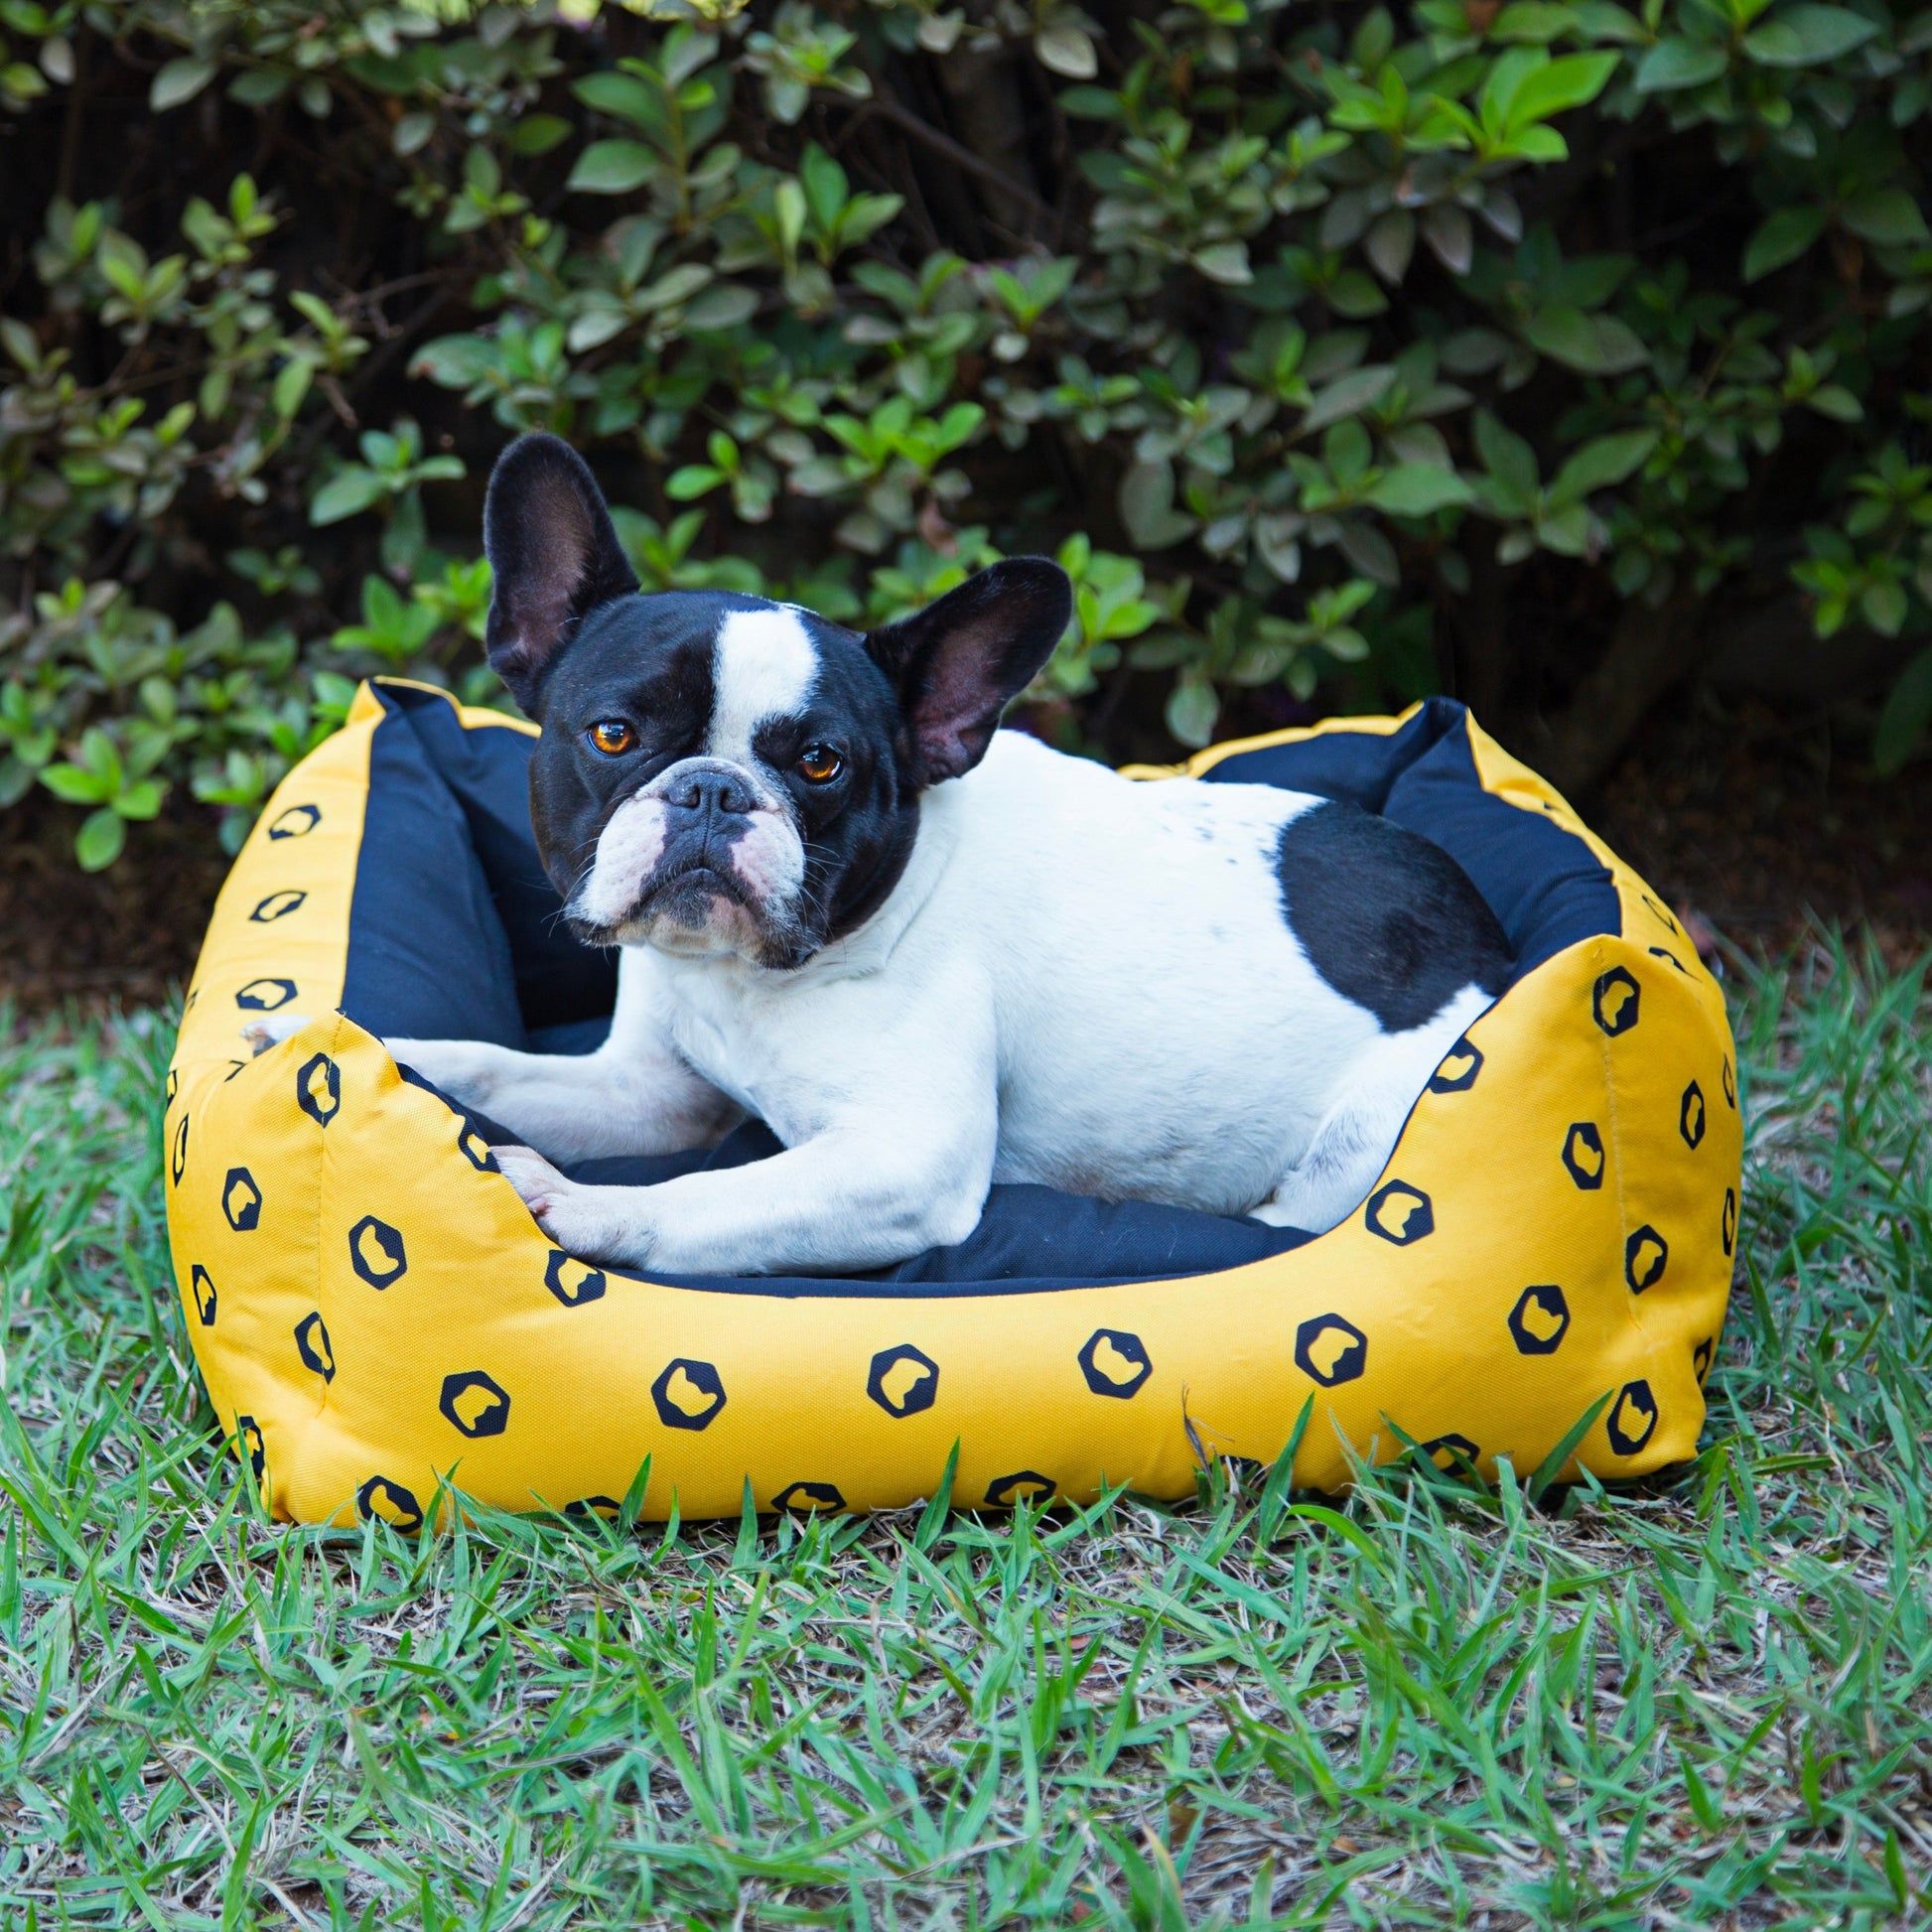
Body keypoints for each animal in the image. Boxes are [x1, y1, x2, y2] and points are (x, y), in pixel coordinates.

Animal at [388, 440, 1506, 1283]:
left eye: (822, 763)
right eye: (614, 735)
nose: (713, 790)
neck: (754, 981)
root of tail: (1490, 948)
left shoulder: (900, 1159)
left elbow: (706, 1194)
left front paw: (575, 1202)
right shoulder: (648, 1092)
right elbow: (487, 1064)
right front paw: (367, 1046)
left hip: (1361, 1140)